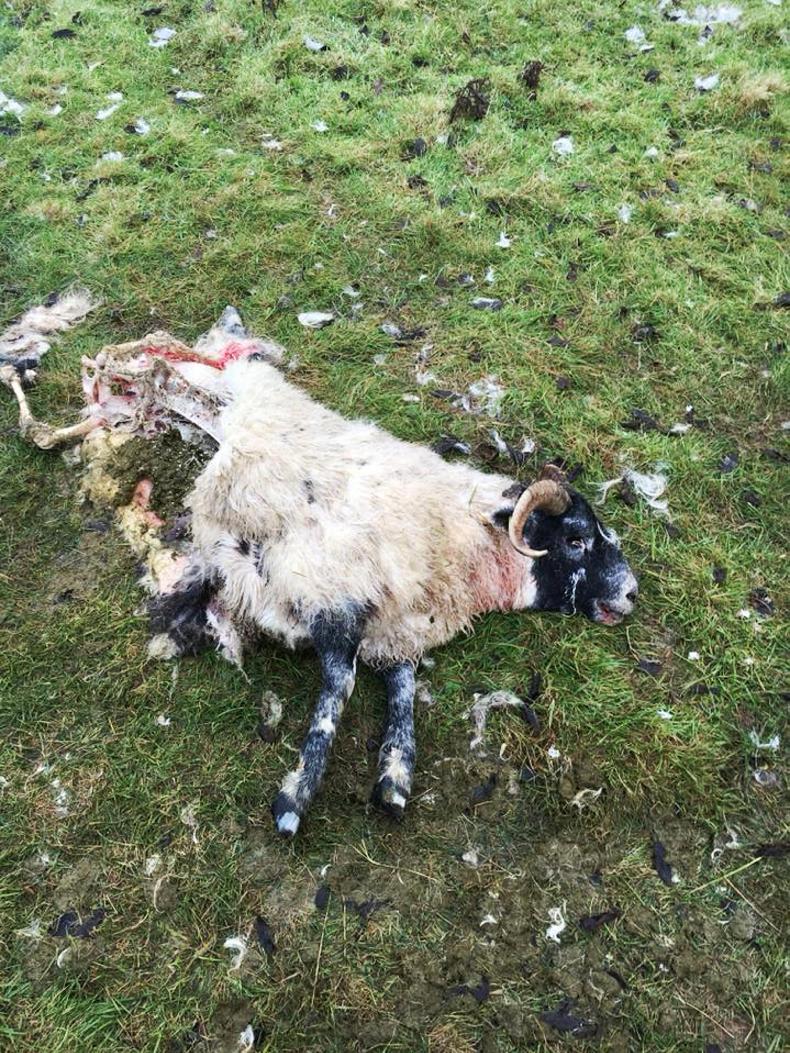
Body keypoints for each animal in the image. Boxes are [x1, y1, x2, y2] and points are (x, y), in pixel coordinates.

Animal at [2, 304, 638, 836]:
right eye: (577, 539)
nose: (632, 594)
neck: (456, 538)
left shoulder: (396, 632)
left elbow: (403, 694)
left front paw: (394, 776)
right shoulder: (332, 598)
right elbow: (339, 691)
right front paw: (296, 798)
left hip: (190, 395)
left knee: (131, 390)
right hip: (217, 408)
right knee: (149, 376)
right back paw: (43, 372)